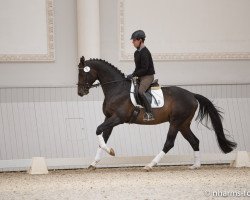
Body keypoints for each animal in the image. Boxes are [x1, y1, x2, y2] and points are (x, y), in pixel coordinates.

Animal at [77, 55, 236, 170]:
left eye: (82, 73)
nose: (80, 92)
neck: (116, 89)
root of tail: (192, 94)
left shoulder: (118, 118)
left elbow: (98, 130)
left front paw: (110, 151)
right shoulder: (109, 118)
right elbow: (102, 138)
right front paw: (94, 163)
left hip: (176, 122)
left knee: (169, 143)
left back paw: (150, 165)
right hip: (184, 124)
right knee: (194, 141)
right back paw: (195, 165)